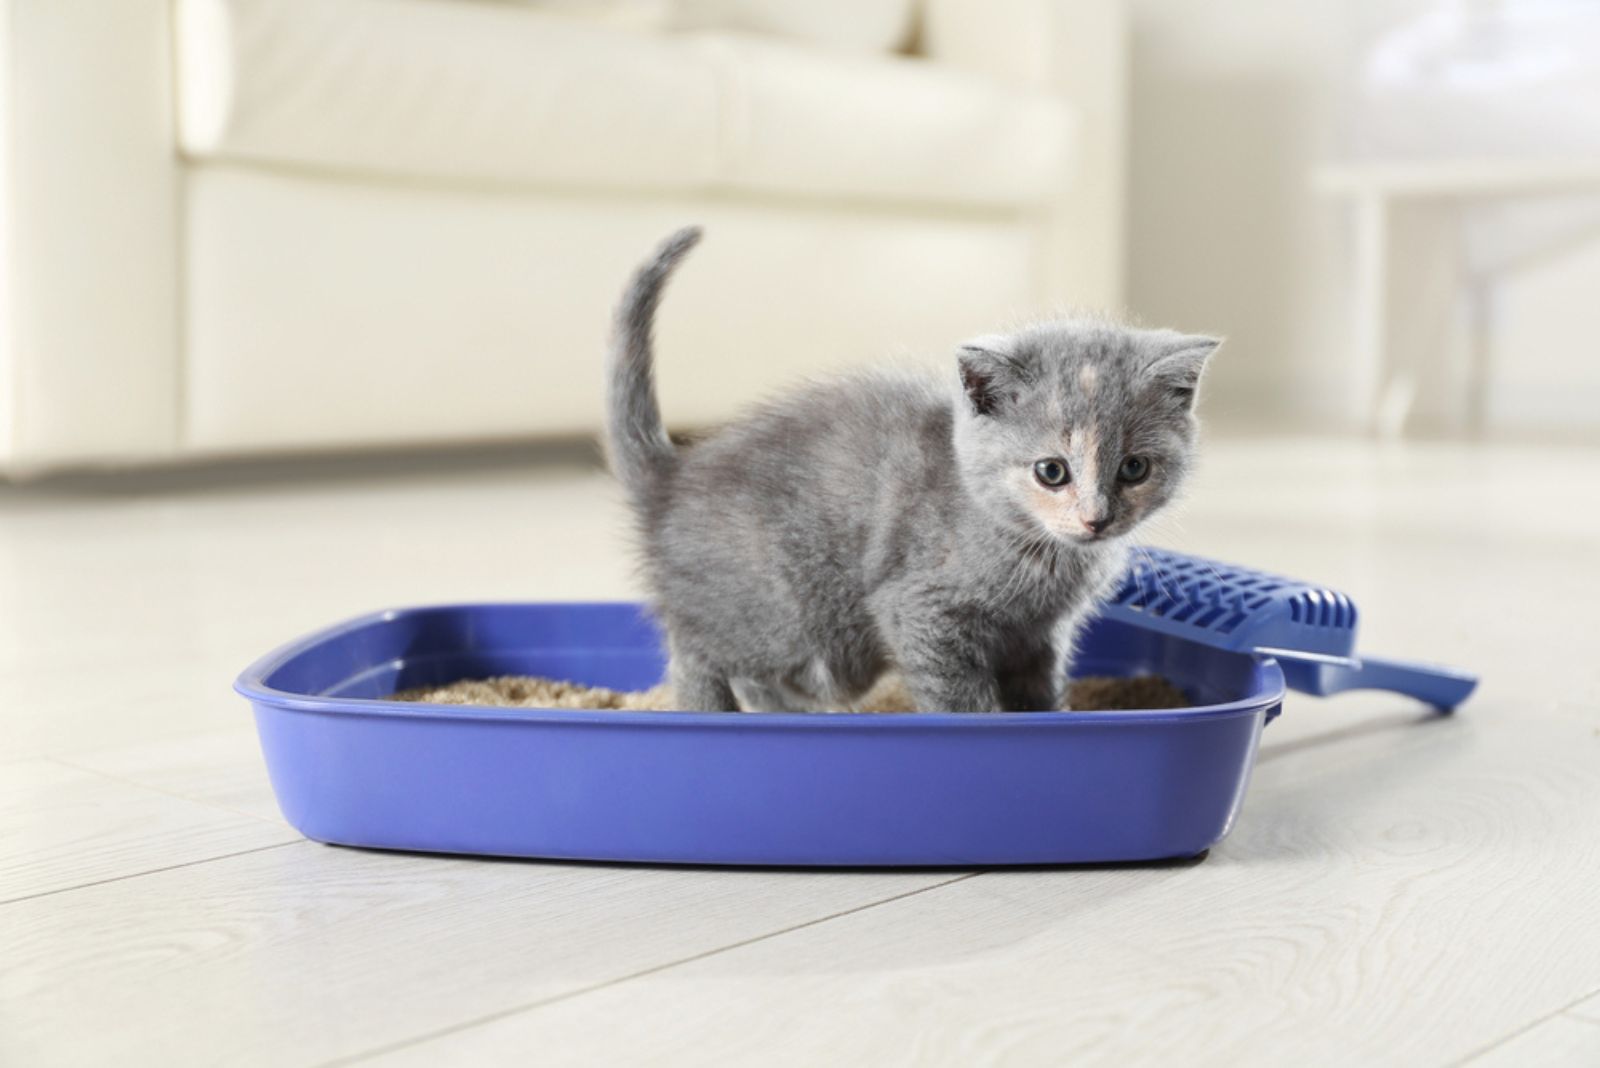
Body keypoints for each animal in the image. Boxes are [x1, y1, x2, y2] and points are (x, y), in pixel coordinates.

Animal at [604, 227, 1216, 713]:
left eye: (1134, 468)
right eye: (1051, 471)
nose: (1096, 518)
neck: (1037, 552)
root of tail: (673, 479)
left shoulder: (1039, 638)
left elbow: (1038, 693)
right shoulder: (921, 609)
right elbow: (959, 700)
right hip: (793, 619)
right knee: (697, 653)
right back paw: (712, 712)